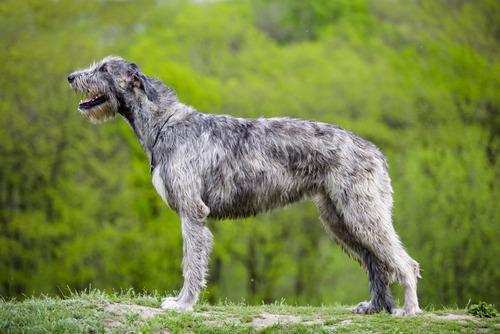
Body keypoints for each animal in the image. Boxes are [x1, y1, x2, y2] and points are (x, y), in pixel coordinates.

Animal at [68, 56, 420, 316]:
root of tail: (375, 151)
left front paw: (182, 304)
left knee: (406, 263)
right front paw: (182, 302)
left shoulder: (192, 212)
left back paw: (409, 310)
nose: (71, 77)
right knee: (377, 263)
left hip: (362, 212)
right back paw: (375, 307)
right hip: (339, 219)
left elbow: (191, 262)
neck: (165, 124)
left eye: (103, 68)